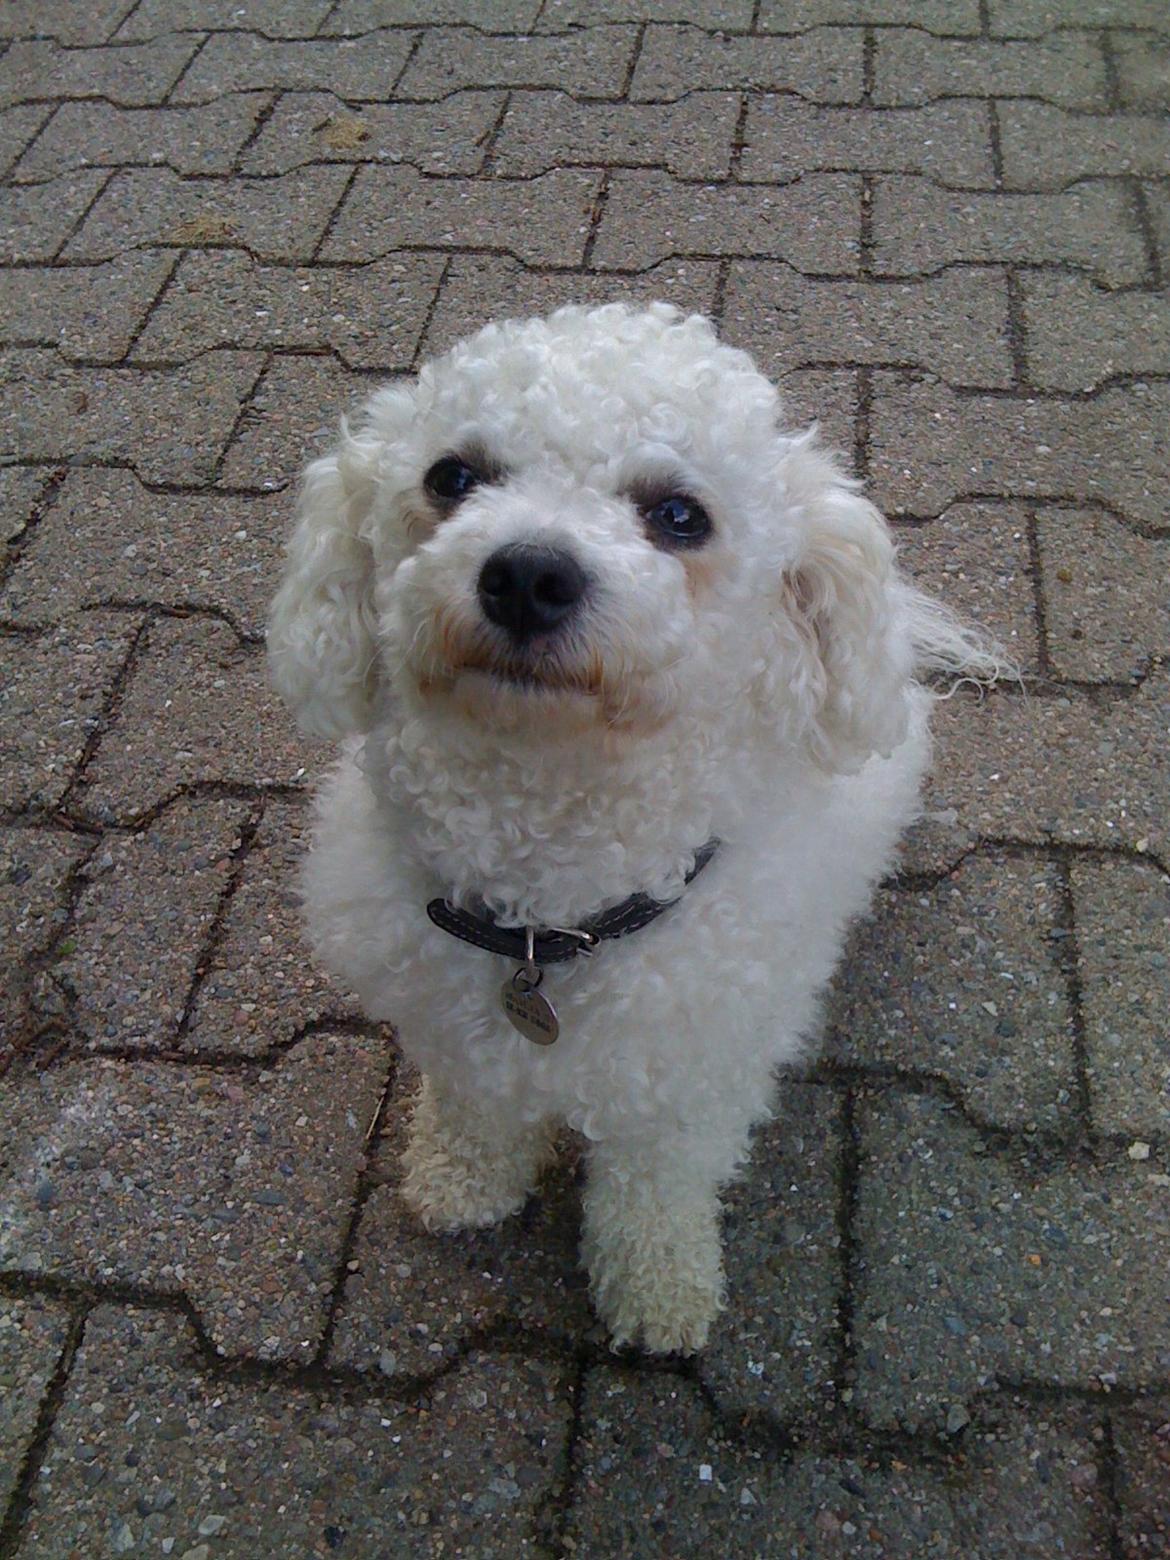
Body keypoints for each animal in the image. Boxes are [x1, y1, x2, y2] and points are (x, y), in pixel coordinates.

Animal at [269, 304, 1004, 1354]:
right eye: (452, 477)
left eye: (681, 515)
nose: (528, 574)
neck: (549, 911)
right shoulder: (453, 1028)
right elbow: (475, 1109)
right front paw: (463, 1181)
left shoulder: (692, 1077)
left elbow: (655, 1189)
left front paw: (659, 1291)